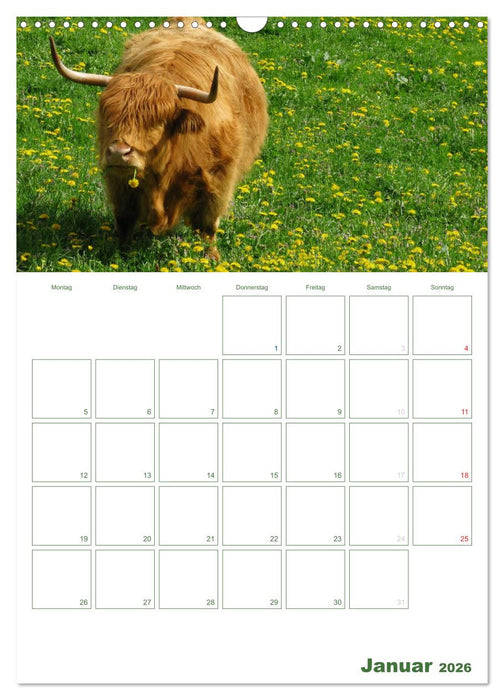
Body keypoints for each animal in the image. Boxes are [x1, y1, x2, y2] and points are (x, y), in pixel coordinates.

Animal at [49, 19, 268, 260]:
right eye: (109, 115)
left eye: (156, 122)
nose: (118, 153)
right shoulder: (118, 183)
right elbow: (124, 219)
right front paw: (121, 252)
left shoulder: (219, 179)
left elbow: (207, 226)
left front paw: (211, 258)